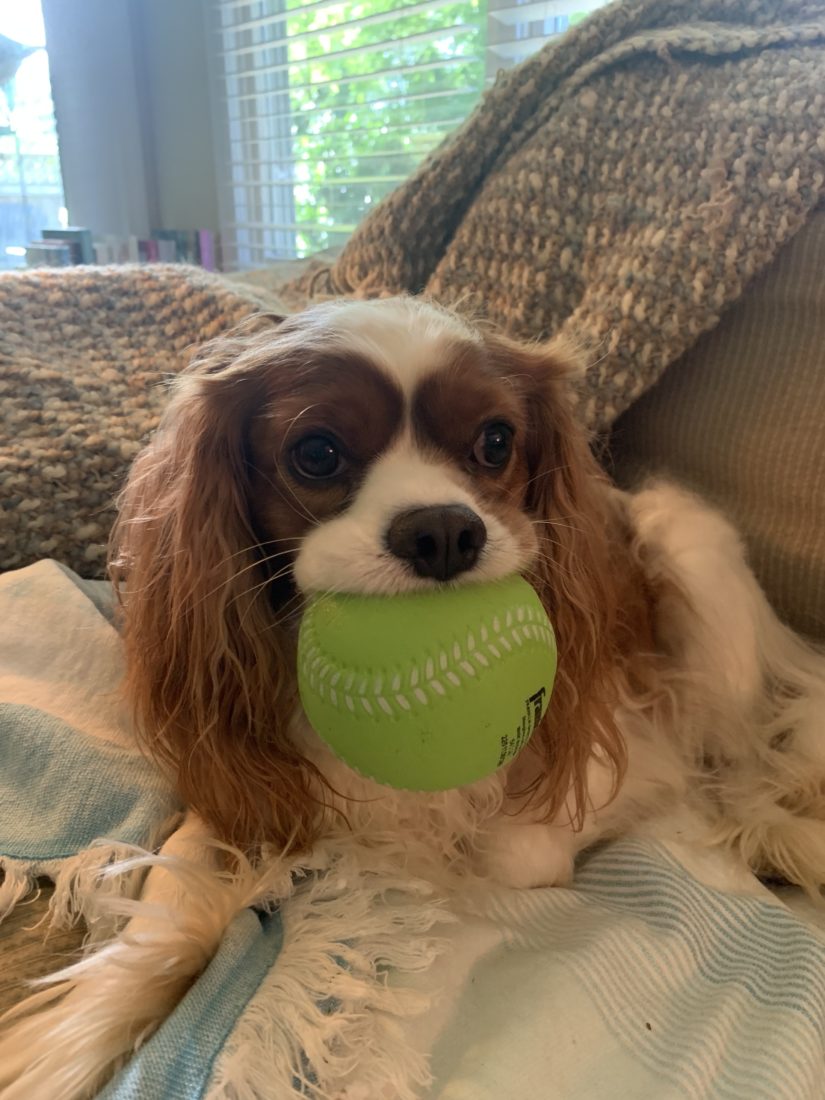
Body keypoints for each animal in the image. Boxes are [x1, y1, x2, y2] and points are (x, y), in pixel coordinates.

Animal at [1, 297, 825, 1095]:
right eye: (317, 453)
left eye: (495, 441)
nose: (443, 530)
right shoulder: (248, 785)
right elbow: (164, 913)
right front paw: (75, 1047)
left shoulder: (625, 752)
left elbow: (509, 849)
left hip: (690, 556)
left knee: (740, 766)